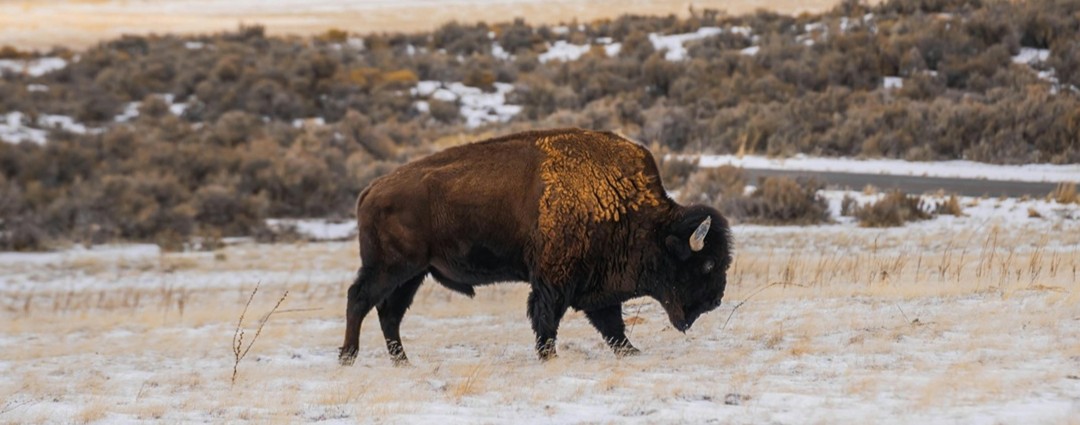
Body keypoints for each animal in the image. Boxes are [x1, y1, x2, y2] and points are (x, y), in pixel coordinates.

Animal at [340, 128, 732, 365]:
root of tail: (371, 190)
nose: (713, 302)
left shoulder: (595, 284)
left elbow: (611, 323)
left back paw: (402, 361)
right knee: (360, 299)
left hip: (413, 274)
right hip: (391, 269)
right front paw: (549, 356)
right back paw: (348, 356)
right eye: (707, 264)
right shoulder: (553, 280)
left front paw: (630, 352)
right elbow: (548, 317)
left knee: (389, 313)